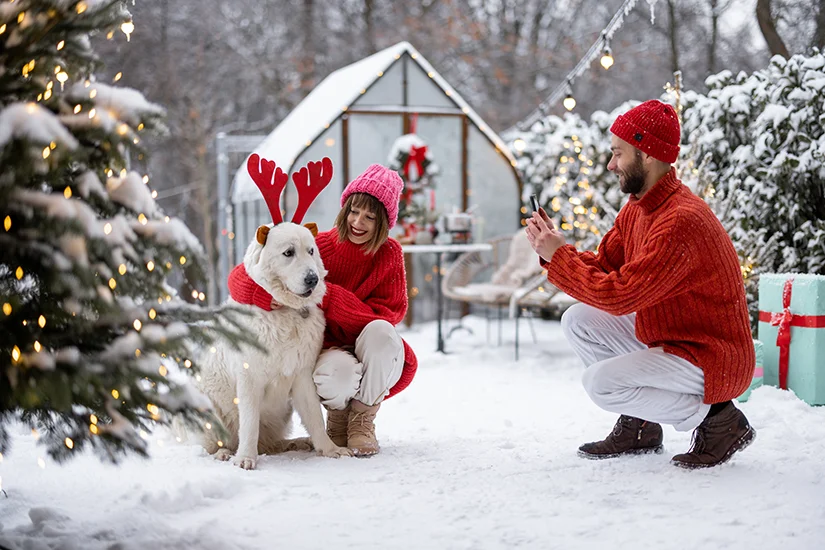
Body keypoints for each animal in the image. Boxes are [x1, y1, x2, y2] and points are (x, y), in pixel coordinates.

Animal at [197, 222, 350, 472]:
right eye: (288, 253)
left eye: (311, 251)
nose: (313, 279)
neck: (286, 312)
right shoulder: (249, 377)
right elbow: (250, 423)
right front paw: (245, 459)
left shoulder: (303, 375)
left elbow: (315, 416)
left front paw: (330, 450)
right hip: (209, 410)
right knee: (216, 444)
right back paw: (225, 453)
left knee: (271, 443)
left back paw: (299, 442)